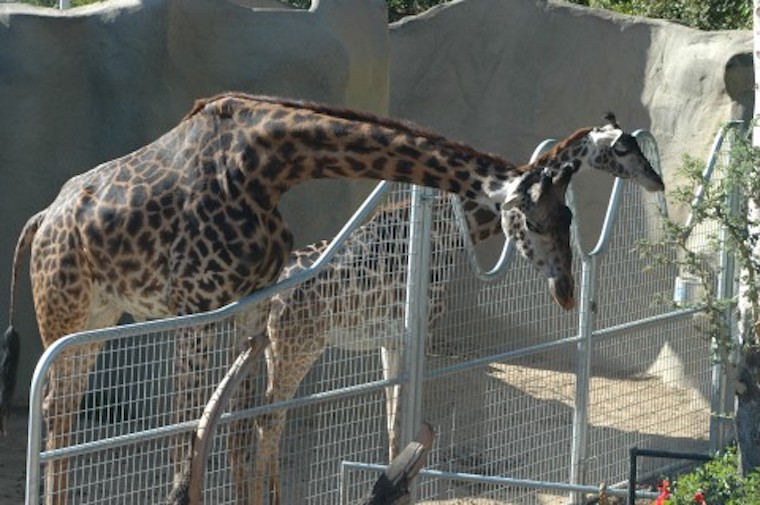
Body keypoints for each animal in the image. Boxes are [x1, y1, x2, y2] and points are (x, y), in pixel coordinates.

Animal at [0, 92, 605, 505]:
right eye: (534, 219)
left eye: (569, 216)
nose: (567, 293)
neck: (267, 166)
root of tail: (41, 218)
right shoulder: (195, 311)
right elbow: (187, 435)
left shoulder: (250, 312)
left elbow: (238, 429)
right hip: (62, 312)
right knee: (53, 409)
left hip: (99, 317)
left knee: (66, 409)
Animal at [250, 116, 663, 505]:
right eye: (622, 149)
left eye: (636, 144)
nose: (656, 180)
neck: (446, 227)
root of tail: (270, 295)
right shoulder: (423, 325)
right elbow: (407, 416)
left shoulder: (392, 336)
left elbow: (393, 421)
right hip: (298, 344)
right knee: (268, 420)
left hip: (270, 345)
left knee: (269, 419)